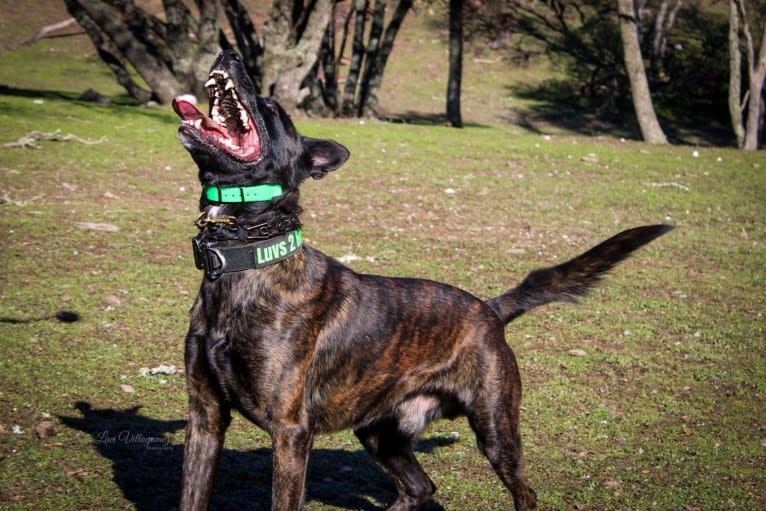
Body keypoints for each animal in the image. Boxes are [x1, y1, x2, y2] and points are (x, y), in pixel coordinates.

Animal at [172, 49, 672, 511]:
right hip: (379, 431)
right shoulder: (205, 419)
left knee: (523, 493)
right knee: (420, 486)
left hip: (494, 428)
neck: (244, 261)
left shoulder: (290, 432)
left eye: (272, 107)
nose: (230, 52)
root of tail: (490, 309)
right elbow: (191, 495)